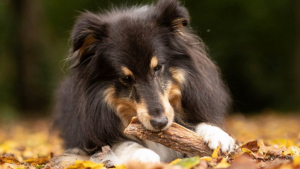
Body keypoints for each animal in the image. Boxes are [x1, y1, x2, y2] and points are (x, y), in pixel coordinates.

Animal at [52, 0, 236, 166]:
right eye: (126, 78)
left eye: (158, 67)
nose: (160, 123)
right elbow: (120, 144)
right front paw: (144, 155)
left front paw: (218, 135)